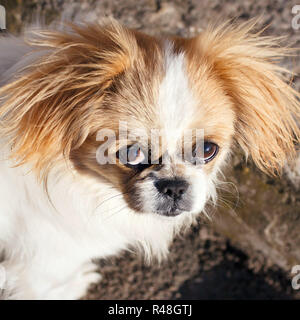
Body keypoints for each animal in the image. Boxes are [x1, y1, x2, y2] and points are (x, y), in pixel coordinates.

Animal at [0, 19, 298, 300]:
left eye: (206, 149)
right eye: (132, 153)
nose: (174, 186)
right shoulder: (43, 263)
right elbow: (46, 289)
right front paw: (72, 287)